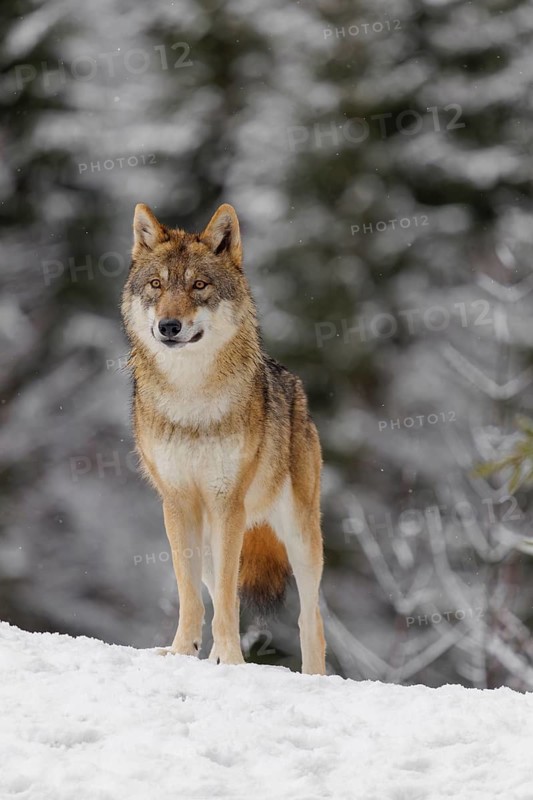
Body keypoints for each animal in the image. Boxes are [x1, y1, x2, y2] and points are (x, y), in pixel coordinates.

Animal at [121, 202, 326, 674]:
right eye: (157, 285)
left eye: (199, 285)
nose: (169, 326)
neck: (191, 397)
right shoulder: (177, 504)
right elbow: (190, 596)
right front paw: (182, 651)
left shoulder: (226, 501)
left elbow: (232, 602)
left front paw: (229, 659)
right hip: (212, 536)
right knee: (216, 592)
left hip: (300, 536)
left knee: (312, 621)